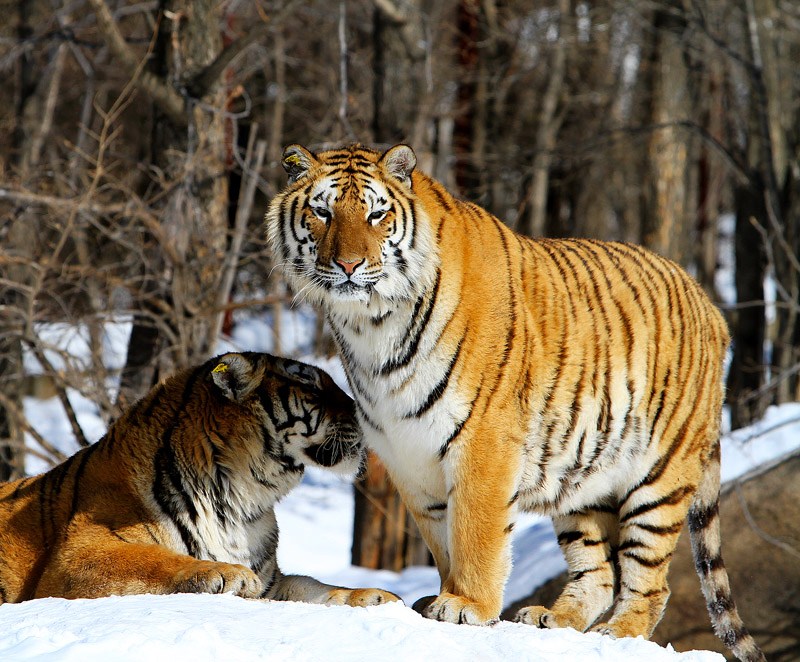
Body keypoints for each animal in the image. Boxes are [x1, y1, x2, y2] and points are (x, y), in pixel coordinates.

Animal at [0, 352, 400, 612]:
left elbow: (313, 584)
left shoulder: (273, 580)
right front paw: (227, 573)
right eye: (311, 386)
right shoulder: (78, 553)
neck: (242, 502)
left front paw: (376, 596)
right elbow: (152, 558)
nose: (370, 418)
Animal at [266, 143, 764, 660]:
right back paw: (553, 619)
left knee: (651, 578)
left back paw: (618, 632)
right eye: (323, 213)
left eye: (376, 214)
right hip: (583, 477)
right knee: (599, 571)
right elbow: (442, 537)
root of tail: (712, 306)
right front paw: (441, 597)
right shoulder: (407, 454)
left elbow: (475, 531)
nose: (348, 265)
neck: (370, 326)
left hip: (660, 475)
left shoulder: (483, 441)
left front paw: (466, 603)